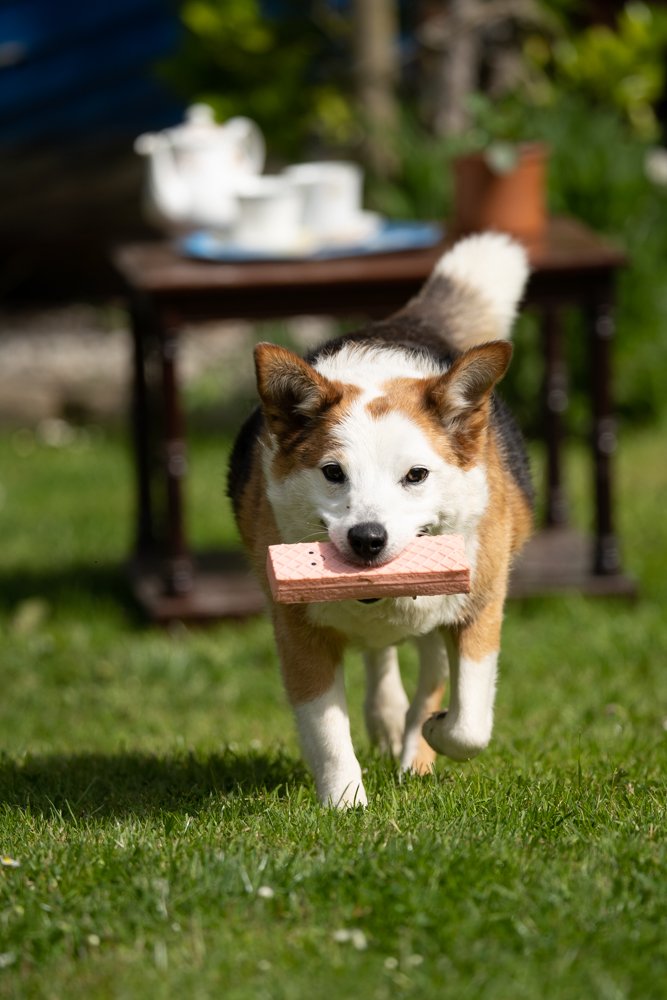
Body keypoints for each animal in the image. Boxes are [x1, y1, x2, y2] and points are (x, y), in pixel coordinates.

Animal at [227, 232, 536, 804]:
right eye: (332, 473)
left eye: (416, 475)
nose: (367, 539)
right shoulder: (297, 630)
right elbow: (327, 728)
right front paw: (345, 804)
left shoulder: (480, 605)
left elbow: (470, 723)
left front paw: (434, 731)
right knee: (380, 655)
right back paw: (389, 719)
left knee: (430, 671)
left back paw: (415, 746)